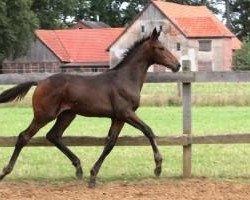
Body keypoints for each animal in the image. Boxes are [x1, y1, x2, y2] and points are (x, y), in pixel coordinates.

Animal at [0, 28, 180, 188]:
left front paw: (93, 176)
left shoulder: (117, 117)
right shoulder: (125, 113)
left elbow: (110, 143)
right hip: (44, 115)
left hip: (67, 115)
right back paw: (5, 171)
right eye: (161, 48)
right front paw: (158, 167)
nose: (177, 65)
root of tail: (40, 82)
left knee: (53, 136)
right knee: (24, 136)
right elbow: (148, 130)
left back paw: (79, 167)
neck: (125, 79)